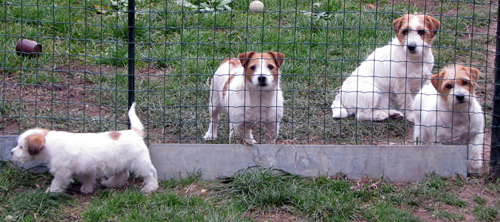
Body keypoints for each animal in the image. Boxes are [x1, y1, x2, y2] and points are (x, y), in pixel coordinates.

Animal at [10, 102, 158, 193]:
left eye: (21, 147)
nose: (11, 152)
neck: (50, 144)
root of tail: (135, 132)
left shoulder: (62, 172)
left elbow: (57, 182)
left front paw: (51, 191)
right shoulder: (84, 169)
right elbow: (87, 179)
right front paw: (87, 189)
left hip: (140, 163)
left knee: (151, 173)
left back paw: (150, 188)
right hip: (120, 163)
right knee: (123, 175)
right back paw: (109, 183)